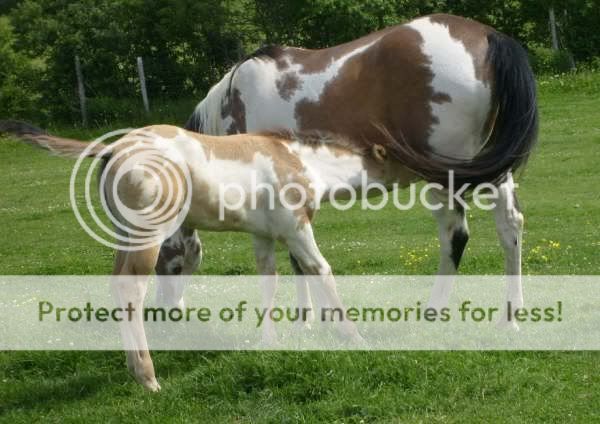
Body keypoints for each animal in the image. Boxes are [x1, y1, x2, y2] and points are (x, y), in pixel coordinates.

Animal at [158, 13, 540, 314]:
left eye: (164, 260)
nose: (168, 311)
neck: (234, 100)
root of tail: (486, 36)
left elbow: (293, 261)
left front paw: (305, 320)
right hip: (492, 168)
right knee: (510, 225)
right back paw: (512, 313)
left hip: (443, 177)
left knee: (454, 236)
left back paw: (434, 310)